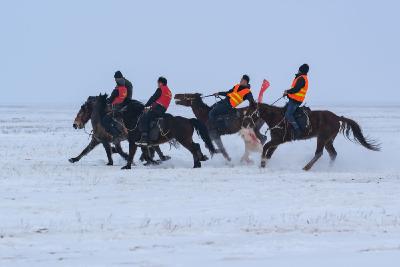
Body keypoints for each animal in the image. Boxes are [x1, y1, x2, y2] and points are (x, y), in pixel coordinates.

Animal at [244, 103, 382, 171]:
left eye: (251, 111)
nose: (245, 121)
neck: (276, 117)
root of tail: (337, 117)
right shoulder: (276, 141)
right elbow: (269, 153)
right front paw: (263, 164)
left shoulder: (279, 140)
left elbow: (265, 147)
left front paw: (262, 162)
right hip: (328, 140)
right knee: (333, 154)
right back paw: (329, 168)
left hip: (322, 138)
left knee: (319, 153)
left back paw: (306, 167)